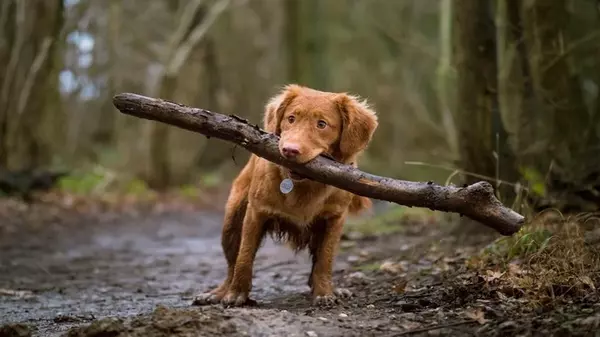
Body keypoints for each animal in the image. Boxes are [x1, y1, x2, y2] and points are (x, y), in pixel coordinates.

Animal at [195, 83, 378, 304]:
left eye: (322, 124)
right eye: (291, 118)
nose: (290, 150)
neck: (305, 185)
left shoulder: (335, 218)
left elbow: (325, 260)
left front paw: (325, 293)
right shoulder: (256, 212)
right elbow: (244, 256)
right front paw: (237, 293)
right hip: (232, 221)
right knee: (232, 262)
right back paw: (220, 292)